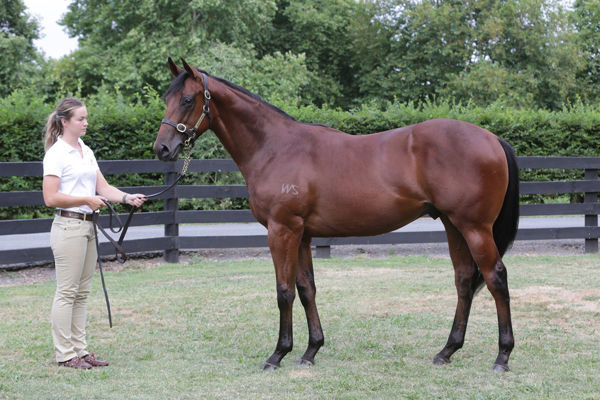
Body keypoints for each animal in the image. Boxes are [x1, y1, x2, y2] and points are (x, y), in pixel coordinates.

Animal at [155, 57, 520, 374]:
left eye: (187, 99)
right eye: (165, 98)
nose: (162, 149)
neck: (275, 148)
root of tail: (492, 138)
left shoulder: (281, 230)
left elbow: (284, 291)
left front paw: (277, 354)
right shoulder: (302, 235)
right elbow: (307, 289)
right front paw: (310, 350)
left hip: (474, 227)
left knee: (496, 278)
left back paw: (502, 357)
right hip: (452, 225)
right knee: (464, 280)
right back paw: (447, 351)